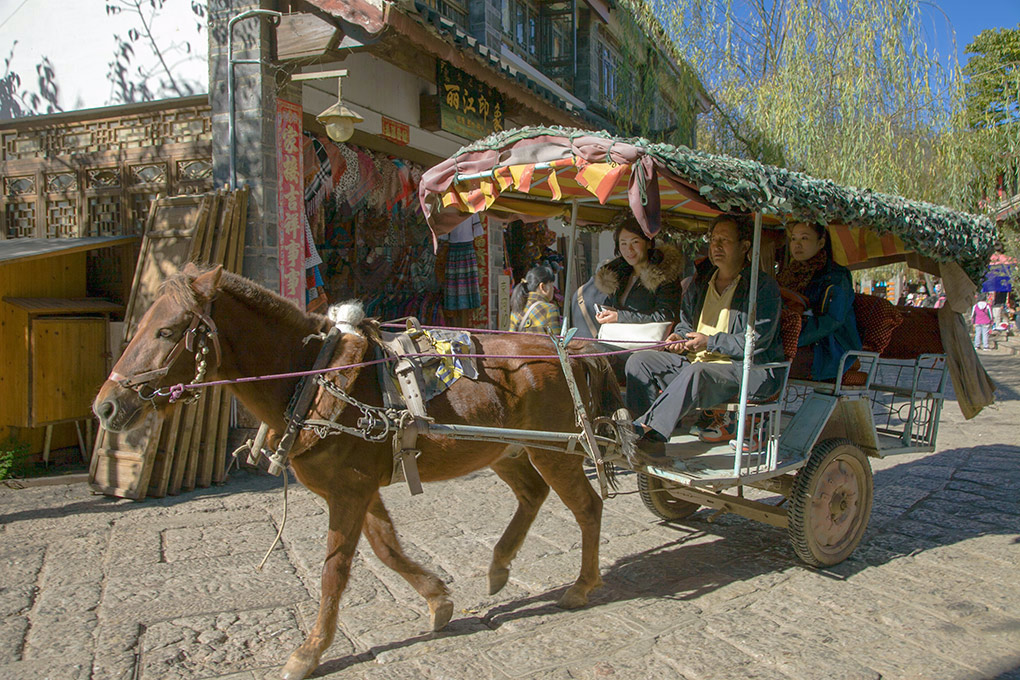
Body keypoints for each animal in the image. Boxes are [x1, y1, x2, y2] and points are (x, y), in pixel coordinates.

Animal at [93, 265, 620, 680]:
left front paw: (309, 652)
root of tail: (572, 351)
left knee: (588, 506)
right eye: (140, 327)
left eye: (166, 332)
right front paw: (438, 601)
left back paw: (581, 586)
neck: (312, 378)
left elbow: (335, 570)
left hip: (554, 452)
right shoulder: (358, 487)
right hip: (506, 452)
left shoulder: (350, 488)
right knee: (532, 495)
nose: (106, 407)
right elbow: (385, 548)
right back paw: (498, 567)